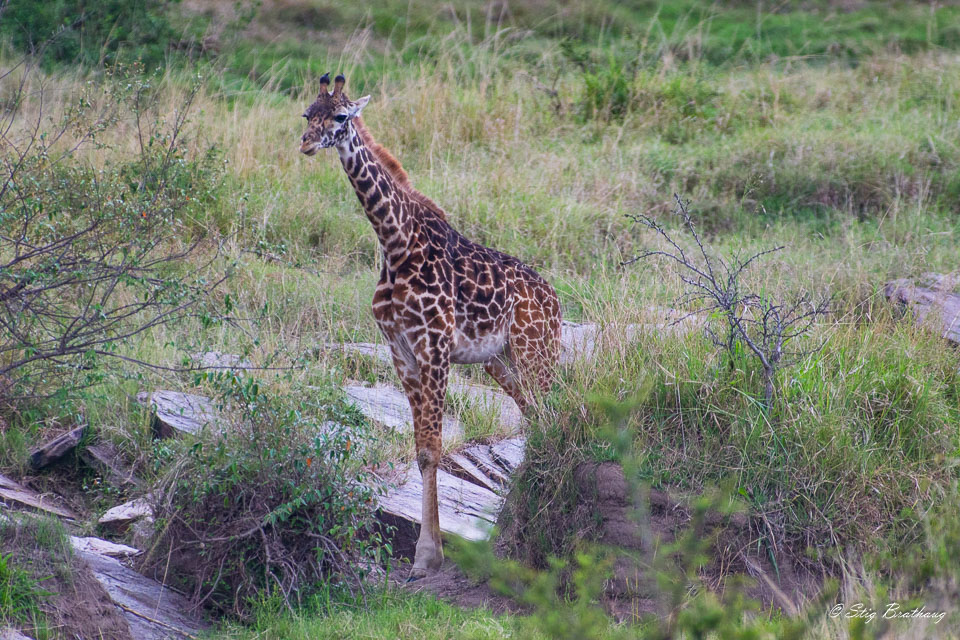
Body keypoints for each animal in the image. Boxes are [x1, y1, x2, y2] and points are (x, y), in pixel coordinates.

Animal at [296, 72, 560, 576]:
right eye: (307, 113)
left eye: (341, 117)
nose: (305, 143)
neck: (395, 243)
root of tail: (556, 301)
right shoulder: (400, 350)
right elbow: (420, 450)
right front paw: (428, 552)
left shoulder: (434, 347)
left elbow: (433, 447)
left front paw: (427, 557)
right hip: (499, 362)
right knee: (537, 416)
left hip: (536, 351)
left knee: (554, 413)